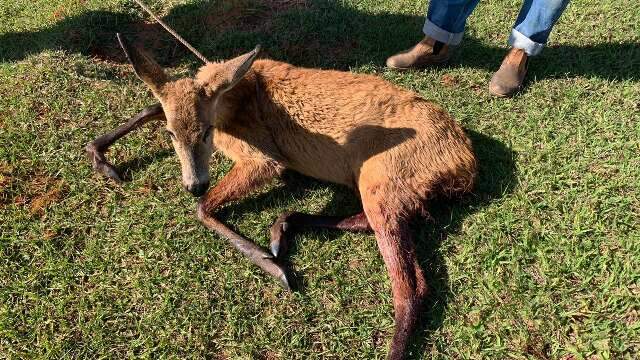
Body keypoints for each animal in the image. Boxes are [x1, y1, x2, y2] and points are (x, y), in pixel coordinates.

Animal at [84, 29, 476, 360]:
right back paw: (283, 227)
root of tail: (465, 164)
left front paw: (271, 265)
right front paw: (100, 156)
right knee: (384, 238)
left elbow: (202, 208)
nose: (193, 183)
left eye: (207, 131)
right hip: (384, 186)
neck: (237, 99)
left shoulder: (266, 158)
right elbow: (152, 108)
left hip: (382, 174)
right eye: (170, 134)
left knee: (410, 289)